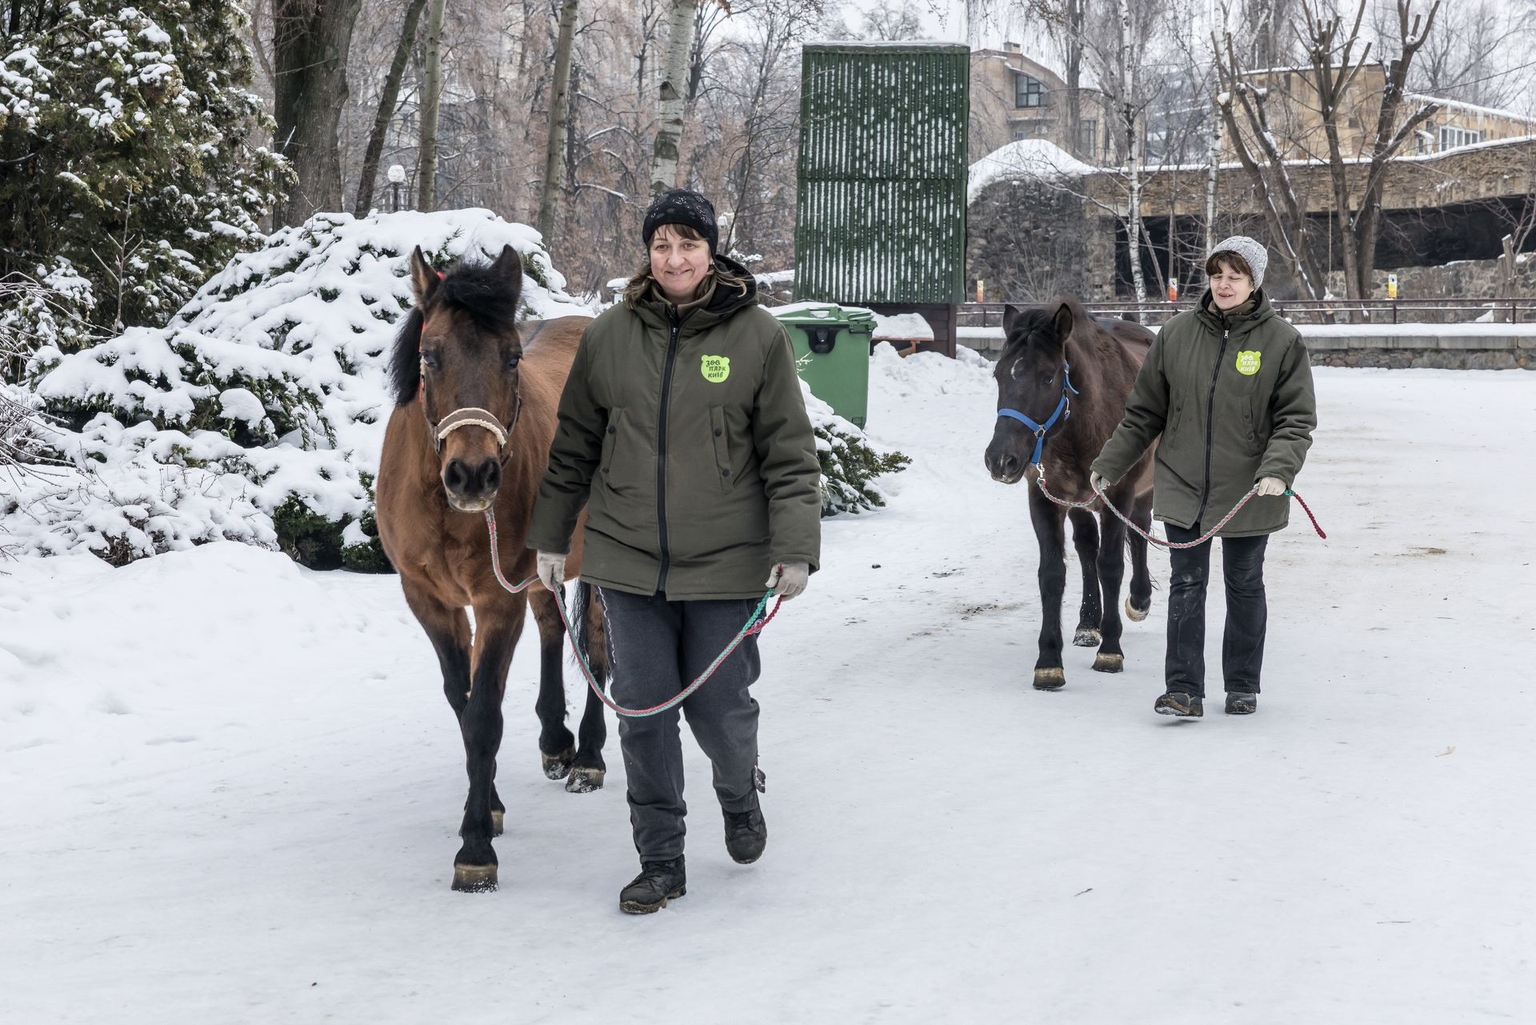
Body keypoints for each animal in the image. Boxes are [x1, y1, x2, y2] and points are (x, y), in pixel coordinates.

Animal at [374, 244, 609, 892]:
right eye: (430, 355)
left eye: (511, 358)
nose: (473, 475)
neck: (444, 507)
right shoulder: (429, 601)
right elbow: (464, 703)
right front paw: (493, 807)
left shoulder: (496, 600)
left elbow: (484, 715)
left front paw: (475, 848)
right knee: (554, 628)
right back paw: (556, 741)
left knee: (599, 649)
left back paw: (588, 755)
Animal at [984, 298, 1156, 691]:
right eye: (999, 375)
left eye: (1048, 377)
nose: (1001, 459)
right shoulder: (1045, 498)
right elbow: (1052, 573)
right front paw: (1049, 661)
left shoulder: (1118, 495)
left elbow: (1112, 565)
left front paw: (1111, 651)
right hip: (1077, 502)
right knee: (1087, 546)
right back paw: (1088, 622)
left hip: (1142, 490)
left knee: (1139, 533)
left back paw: (1139, 600)